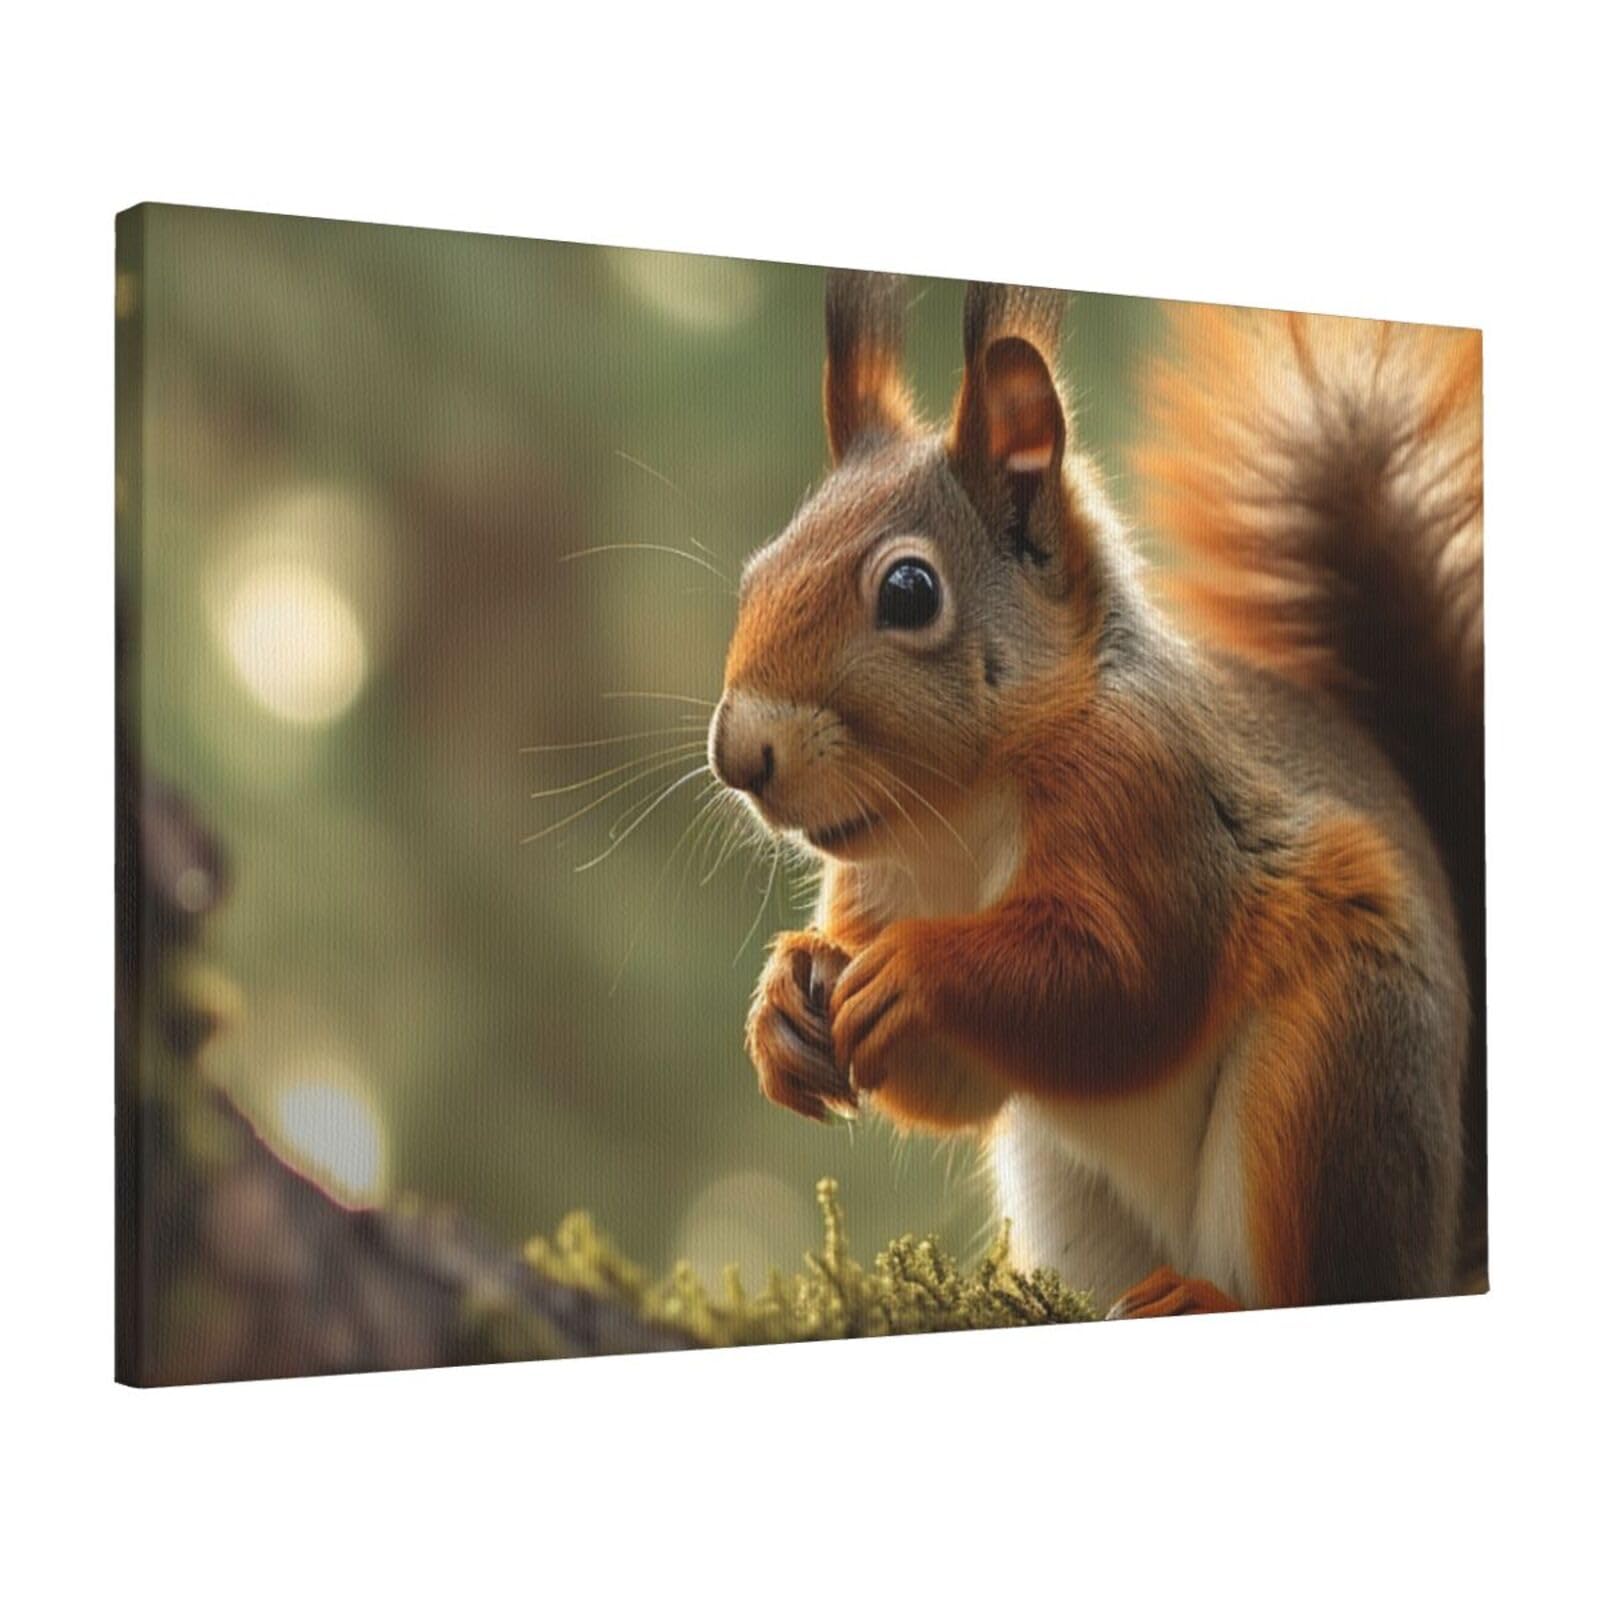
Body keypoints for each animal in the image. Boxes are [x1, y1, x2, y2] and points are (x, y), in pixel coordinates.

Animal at [707, 271, 1484, 1316]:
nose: (737, 755)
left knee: (1314, 1279)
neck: (958, 817)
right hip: (1067, 1186)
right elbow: (956, 1085)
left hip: (1329, 1075)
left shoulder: (1151, 798)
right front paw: (787, 1002)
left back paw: (1203, 1299)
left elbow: (1120, 983)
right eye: (757, 574)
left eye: (909, 592)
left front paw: (916, 969)